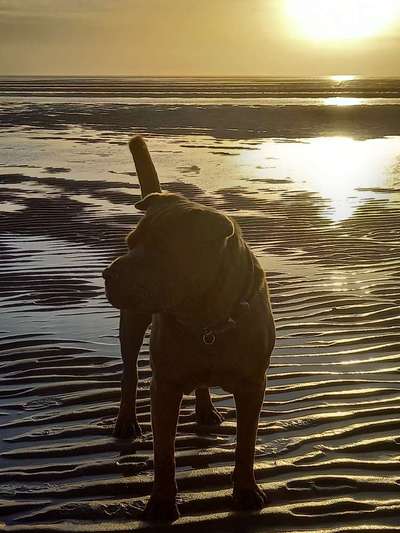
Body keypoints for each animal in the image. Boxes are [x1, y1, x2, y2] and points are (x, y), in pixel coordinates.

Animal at [103, 136, 276, 520]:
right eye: (130, 242)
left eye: (164, 250)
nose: (108, 274)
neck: (205, 313)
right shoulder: (165, 386)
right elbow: (164, 453)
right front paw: (162, 503)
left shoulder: (252, 384)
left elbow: (246, 444)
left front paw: (246, 491)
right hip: (132, 320)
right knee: (129, 371)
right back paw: (126, 420)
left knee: (200, 380)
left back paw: (206, 409)